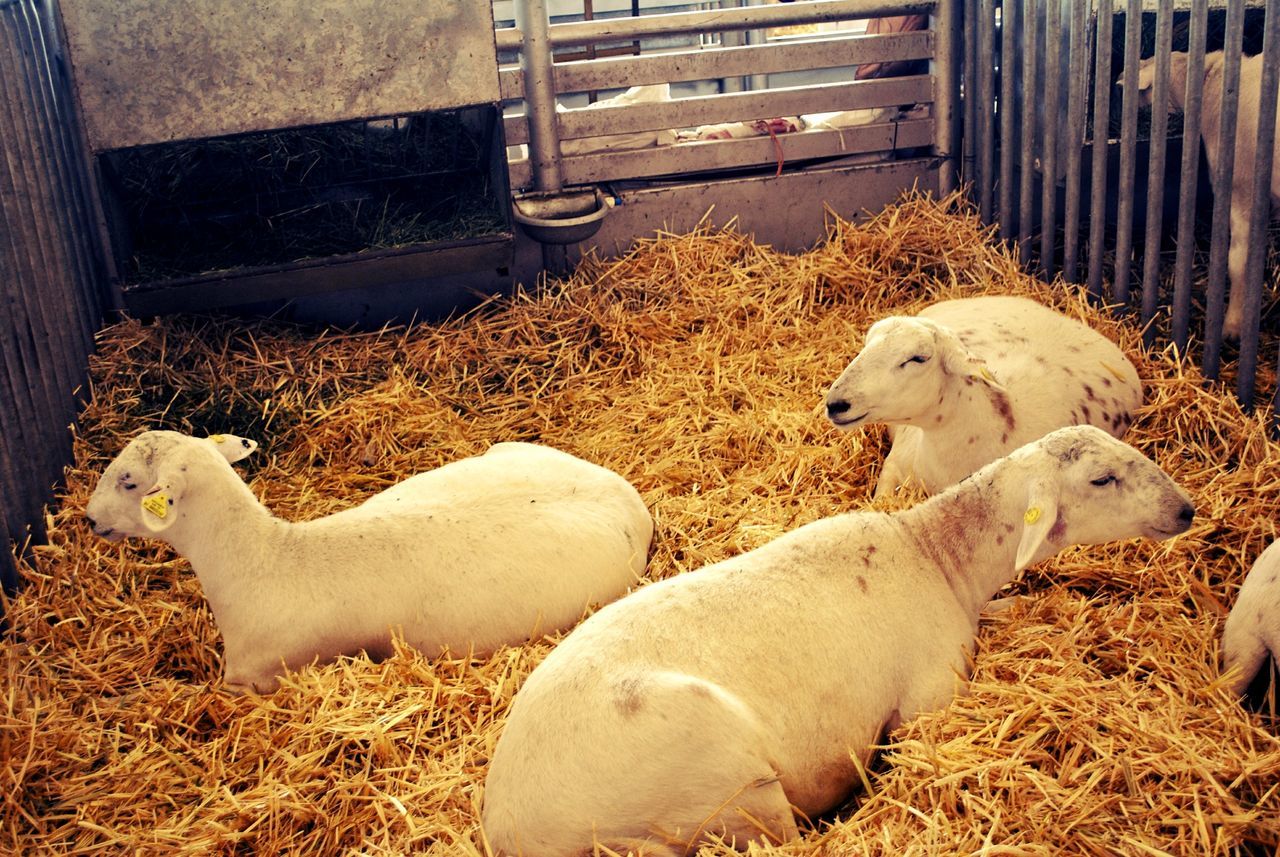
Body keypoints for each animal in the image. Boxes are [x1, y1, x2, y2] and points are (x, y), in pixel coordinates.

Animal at [478, 427, 1187, 854]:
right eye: (1101, 479)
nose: (1186, 511)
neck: (936, 557)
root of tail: (511, 828)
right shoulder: (928, 697)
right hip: (728, 787)